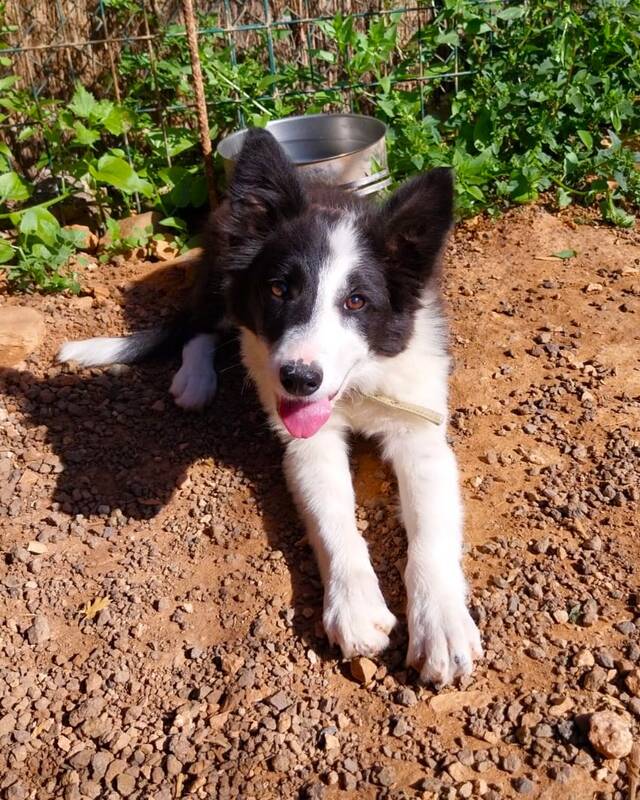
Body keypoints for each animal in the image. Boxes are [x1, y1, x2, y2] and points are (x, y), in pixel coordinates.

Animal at [59, 128, 482, 685]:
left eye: (357, 302)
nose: (299, 379)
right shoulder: (308, 445)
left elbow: (431, 535)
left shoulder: (420, 431)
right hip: (223, 274)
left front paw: (443, 625)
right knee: (201, 326)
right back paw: (195, 378)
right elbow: (335, 519)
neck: (357, 384)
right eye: (280, 289)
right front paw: (354, 606)